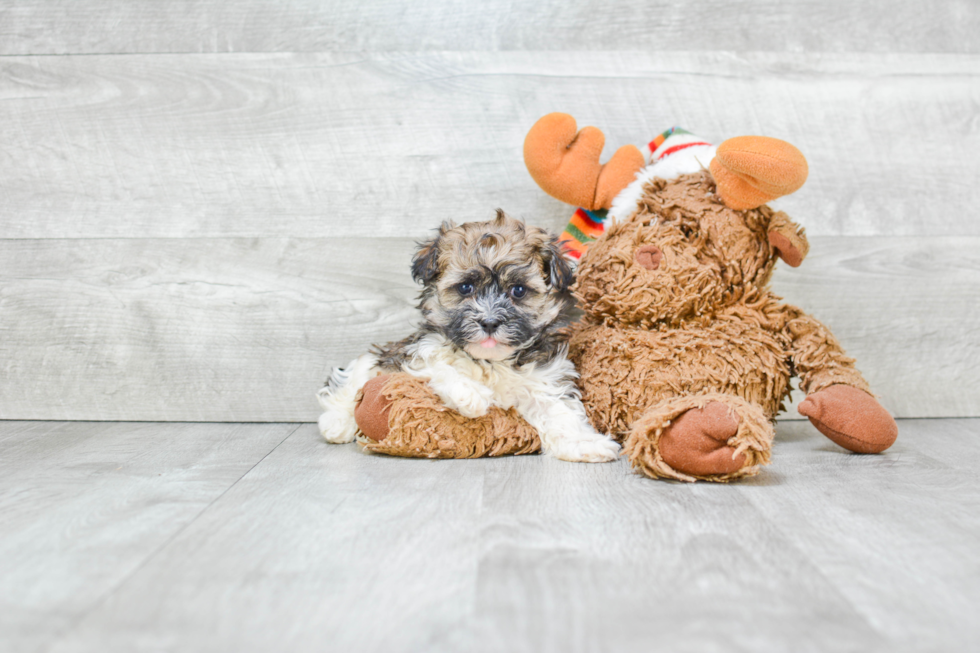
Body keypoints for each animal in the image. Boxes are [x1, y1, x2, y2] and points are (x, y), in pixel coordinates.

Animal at [318, 210, 616, 464]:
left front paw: (584, 443)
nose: (490, 322)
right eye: (465, 288)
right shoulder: (416, 353)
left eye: (518, 290)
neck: (491, 362)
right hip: (376, 360)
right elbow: (440, 365)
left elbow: (560, 411)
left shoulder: (543, 380)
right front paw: (471, 396)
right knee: (353, 378)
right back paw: (336, 423)